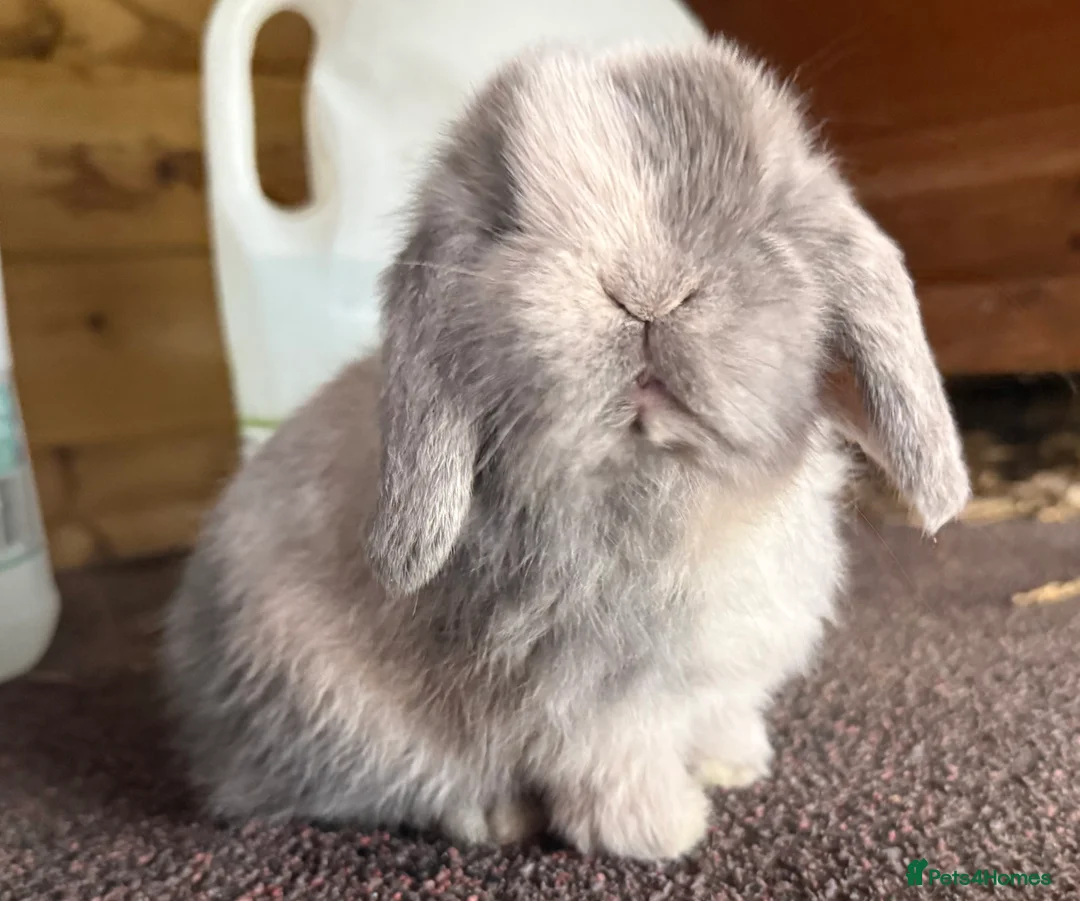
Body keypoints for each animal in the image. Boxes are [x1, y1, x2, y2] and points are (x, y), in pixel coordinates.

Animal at [161, 37, 971, 861]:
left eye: (766, 212)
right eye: (506, 225)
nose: (646, 290)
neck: (669, 480)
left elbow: (718, 711)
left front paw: (734, 764)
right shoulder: (590, 698)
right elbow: (615, 765)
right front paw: (666, 829)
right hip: (331, 705)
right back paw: (495, 816)